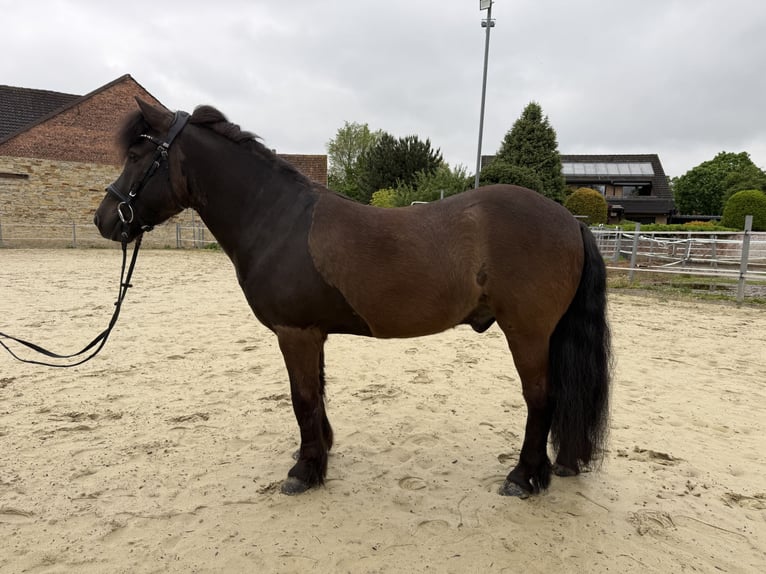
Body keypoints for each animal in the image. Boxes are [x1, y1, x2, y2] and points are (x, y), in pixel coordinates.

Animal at [94, 99, 611, 498]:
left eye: (139, 153)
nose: (105, 218)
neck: (275, 218)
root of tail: (570, 220)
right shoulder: (312, 334)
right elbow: (317, 393)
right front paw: (320, 452)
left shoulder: (295, 333)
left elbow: (302, 397)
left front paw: (304, 472)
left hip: (527, 332)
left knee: (541, 398)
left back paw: (523, 478)